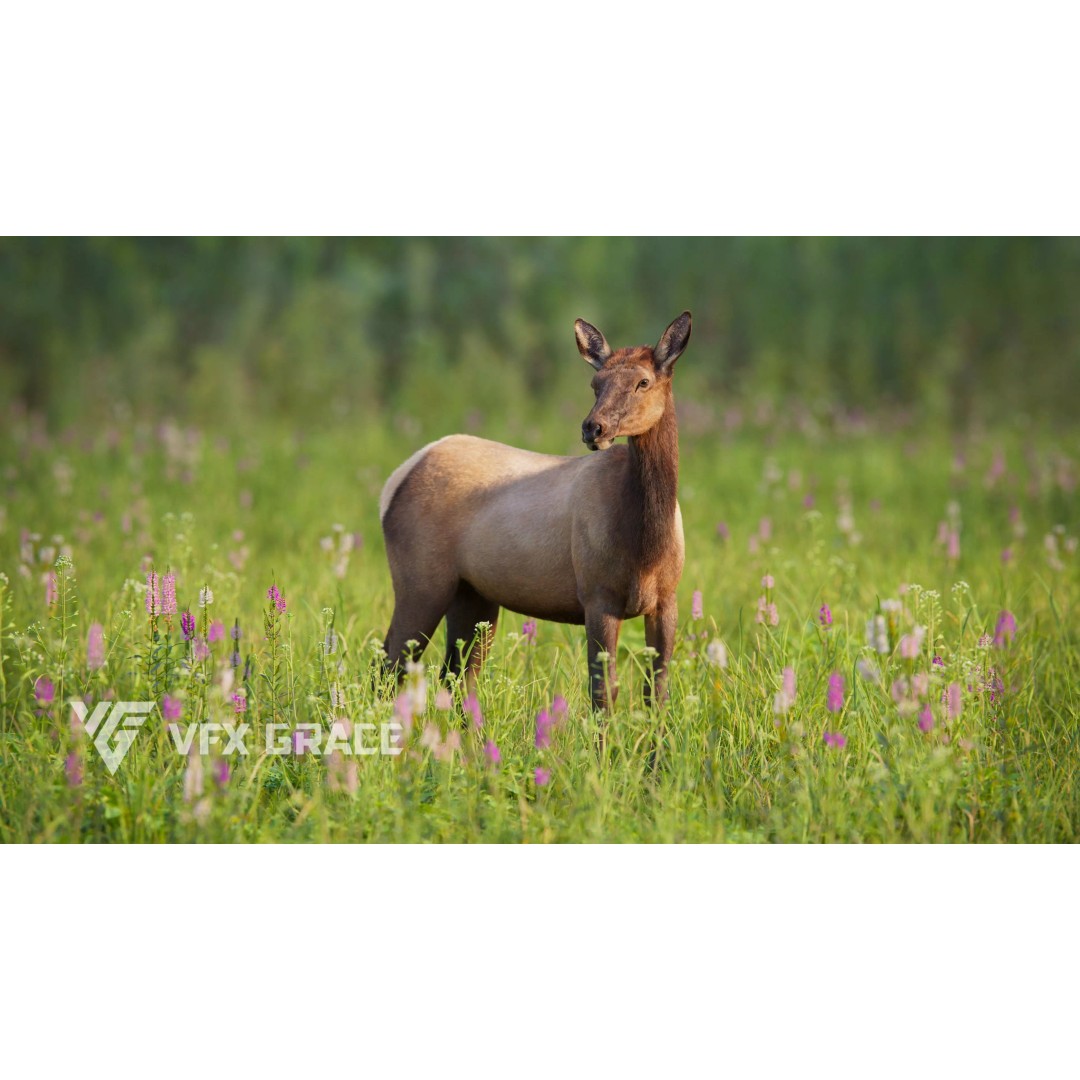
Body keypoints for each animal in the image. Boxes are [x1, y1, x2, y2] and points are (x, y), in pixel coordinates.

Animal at [379, 311, 691, 713]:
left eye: (643, 382)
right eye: (595, 384)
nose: (594, 428)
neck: (647, 545)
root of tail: (393, 484)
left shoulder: (666, 600)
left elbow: (657, 693)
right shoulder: (597, 595)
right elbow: (603, 692)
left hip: (472, 595)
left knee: (455, 676)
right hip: (420, 581)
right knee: (390, 665)